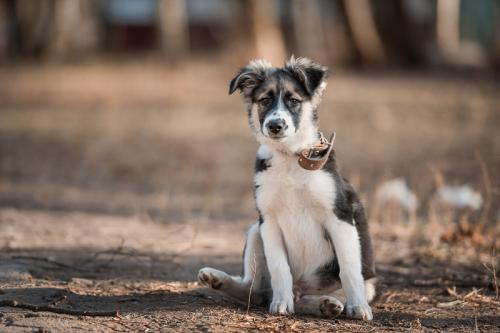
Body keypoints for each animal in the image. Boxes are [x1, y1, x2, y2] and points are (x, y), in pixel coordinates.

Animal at [197, 57, 376, 320]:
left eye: (294, 101)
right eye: (264, 100)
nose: (275, 126)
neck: (289, 156)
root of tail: (302, 289)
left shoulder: (339, 217)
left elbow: (349, 268)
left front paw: (358, 306)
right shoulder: (269, 220)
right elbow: (279, 267)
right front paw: (282, 303)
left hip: (366, 283)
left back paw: (328, 304)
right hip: (255, 230)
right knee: (256, 291)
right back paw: (217, 279)